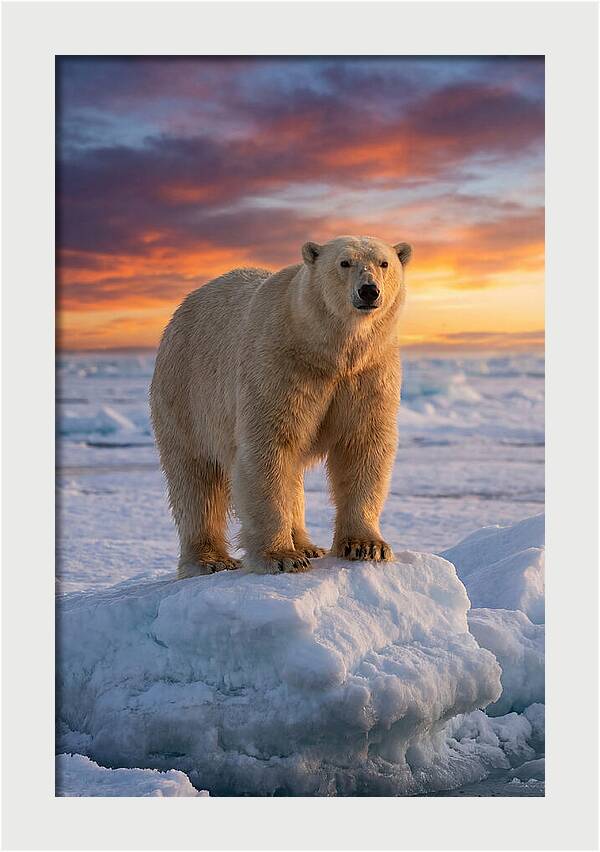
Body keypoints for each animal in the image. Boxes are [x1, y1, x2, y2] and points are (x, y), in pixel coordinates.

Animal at [150, 235, 412, 576]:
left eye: (384, 263)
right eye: (344, 262)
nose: (369, 290)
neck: (328, 350)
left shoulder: (369, 373)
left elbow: (362, 445)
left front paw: (367, 546)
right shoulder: (279, 364)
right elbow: (268, 448)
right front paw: (282, 556)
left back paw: (307, 545)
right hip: (186, 392)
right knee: (196, 479)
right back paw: (210, 560)